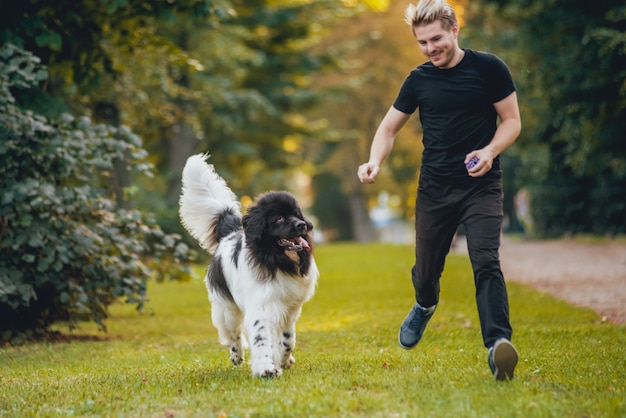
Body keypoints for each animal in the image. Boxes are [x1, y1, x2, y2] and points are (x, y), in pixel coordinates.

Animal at [178, 154, 320, 378]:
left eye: (297, 214)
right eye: (279, 217)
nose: (302, 225)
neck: (277, 260)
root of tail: (228, 234)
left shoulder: (290, 308)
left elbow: (288, 339)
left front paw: (283, 360)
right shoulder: (261, 305)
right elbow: (261, 338)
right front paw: (267, 369)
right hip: (227, 309)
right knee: (232, 333)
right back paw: (237, 356)